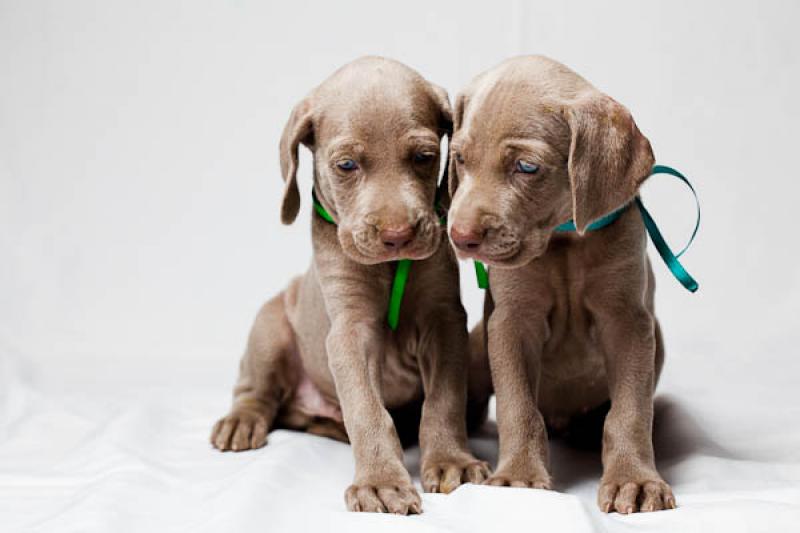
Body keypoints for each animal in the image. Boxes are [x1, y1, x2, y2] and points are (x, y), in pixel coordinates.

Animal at [446, 56, 696, 512]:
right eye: (459, 159)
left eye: (527, 167)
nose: (460, 237)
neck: (561, 242)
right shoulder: (512, 322)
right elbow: (518, 406)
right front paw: (518, 476)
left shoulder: (627, 322)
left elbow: (629, 412)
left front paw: (634, 480)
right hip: (475, 344)